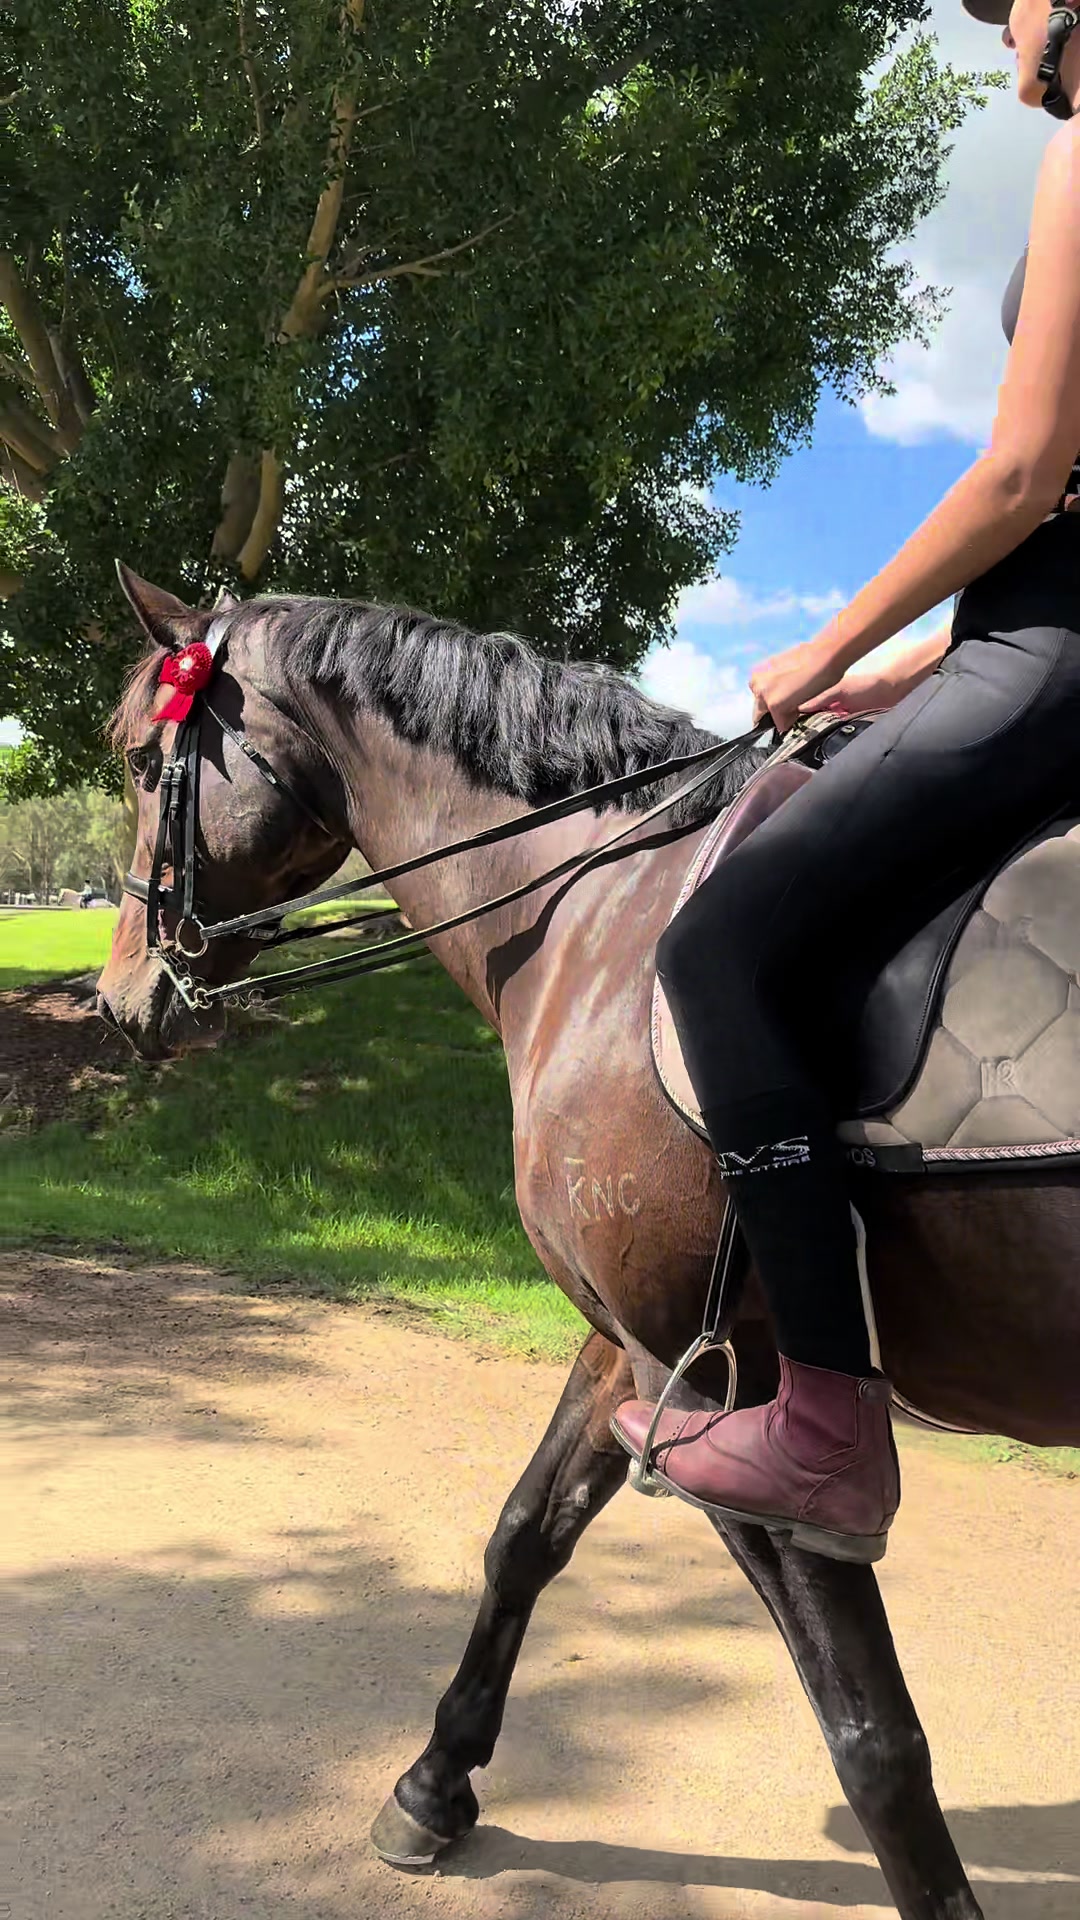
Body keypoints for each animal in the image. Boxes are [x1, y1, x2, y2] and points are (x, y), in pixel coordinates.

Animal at [98, 569, 1080, 1920]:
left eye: (148, 765)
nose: (117, 998)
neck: (604, 912)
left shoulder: (729, 1397)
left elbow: (874, 1736)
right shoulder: (628, 1350)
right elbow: (526, 1534)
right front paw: (431, 1788)